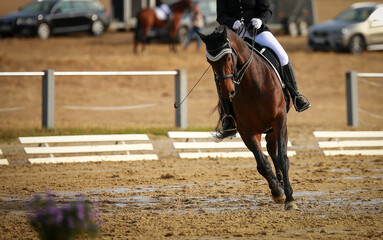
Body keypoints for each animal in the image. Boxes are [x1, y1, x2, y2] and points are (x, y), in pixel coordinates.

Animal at [198, 25, 300, 211]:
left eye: (228, 57)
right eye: (210, 62)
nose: (227, 92)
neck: (254, 85)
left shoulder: (280, 120)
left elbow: (283, 158)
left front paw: (289, 199)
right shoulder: (247, 130)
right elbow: (262, 164)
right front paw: (278, 192)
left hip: (273, 126)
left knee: (274, 151)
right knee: (270, 151)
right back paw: (279, 183)